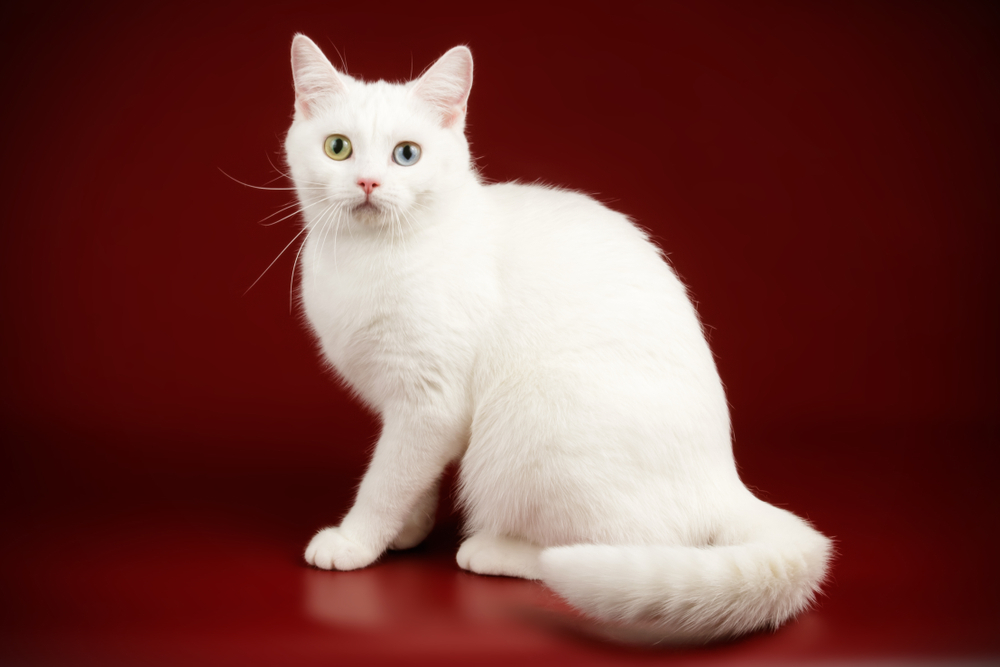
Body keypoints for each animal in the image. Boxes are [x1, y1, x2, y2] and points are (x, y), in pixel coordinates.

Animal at [286, 35, 832, 640]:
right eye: (338, 148)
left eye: (407, 154)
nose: (368, 183)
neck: (365, 258)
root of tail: (725, 481)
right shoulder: (403, 409)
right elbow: (411, 477)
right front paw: (409, 530)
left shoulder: (430, 403)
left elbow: (385, 481)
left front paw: (356, 541)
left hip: (534, 430)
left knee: (615, 546)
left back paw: (500, 550)